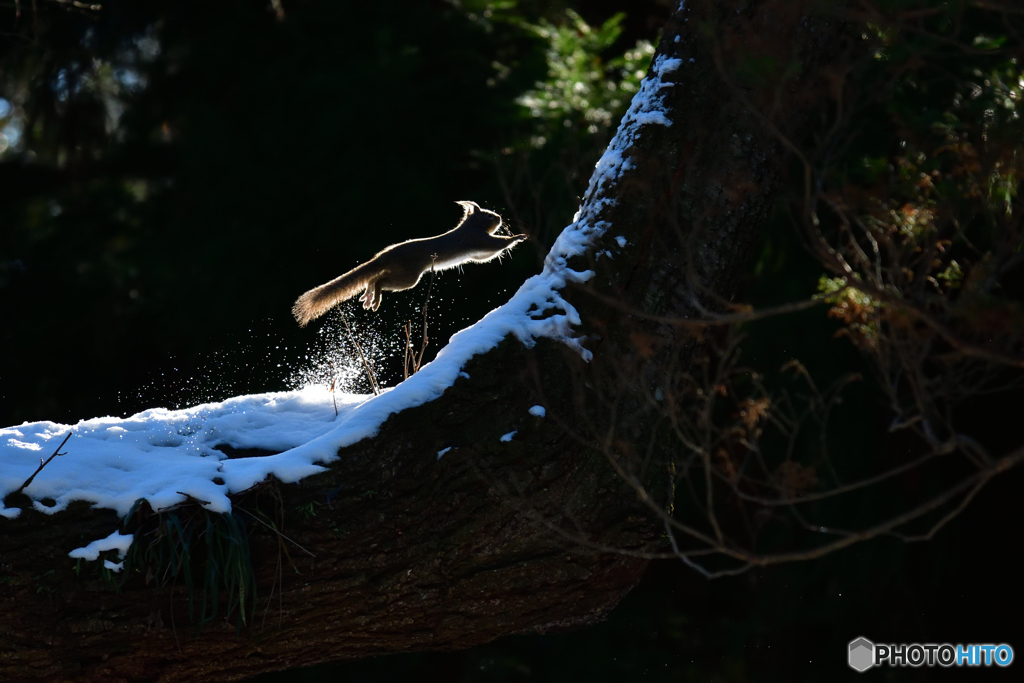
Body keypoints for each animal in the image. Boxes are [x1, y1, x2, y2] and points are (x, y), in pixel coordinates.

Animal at [290, 200, 524, 327]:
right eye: (488, 216)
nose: (500, 218)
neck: (471, 226)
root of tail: (385, 255)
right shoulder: (478, 240)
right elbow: (496, 245)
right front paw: (518, 237)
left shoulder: (477, 252)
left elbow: (484, 258)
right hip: (408, 277)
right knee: (380, 280)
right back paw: (374, 298)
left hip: (401, 274)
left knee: (373, 278)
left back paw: (368, 296)